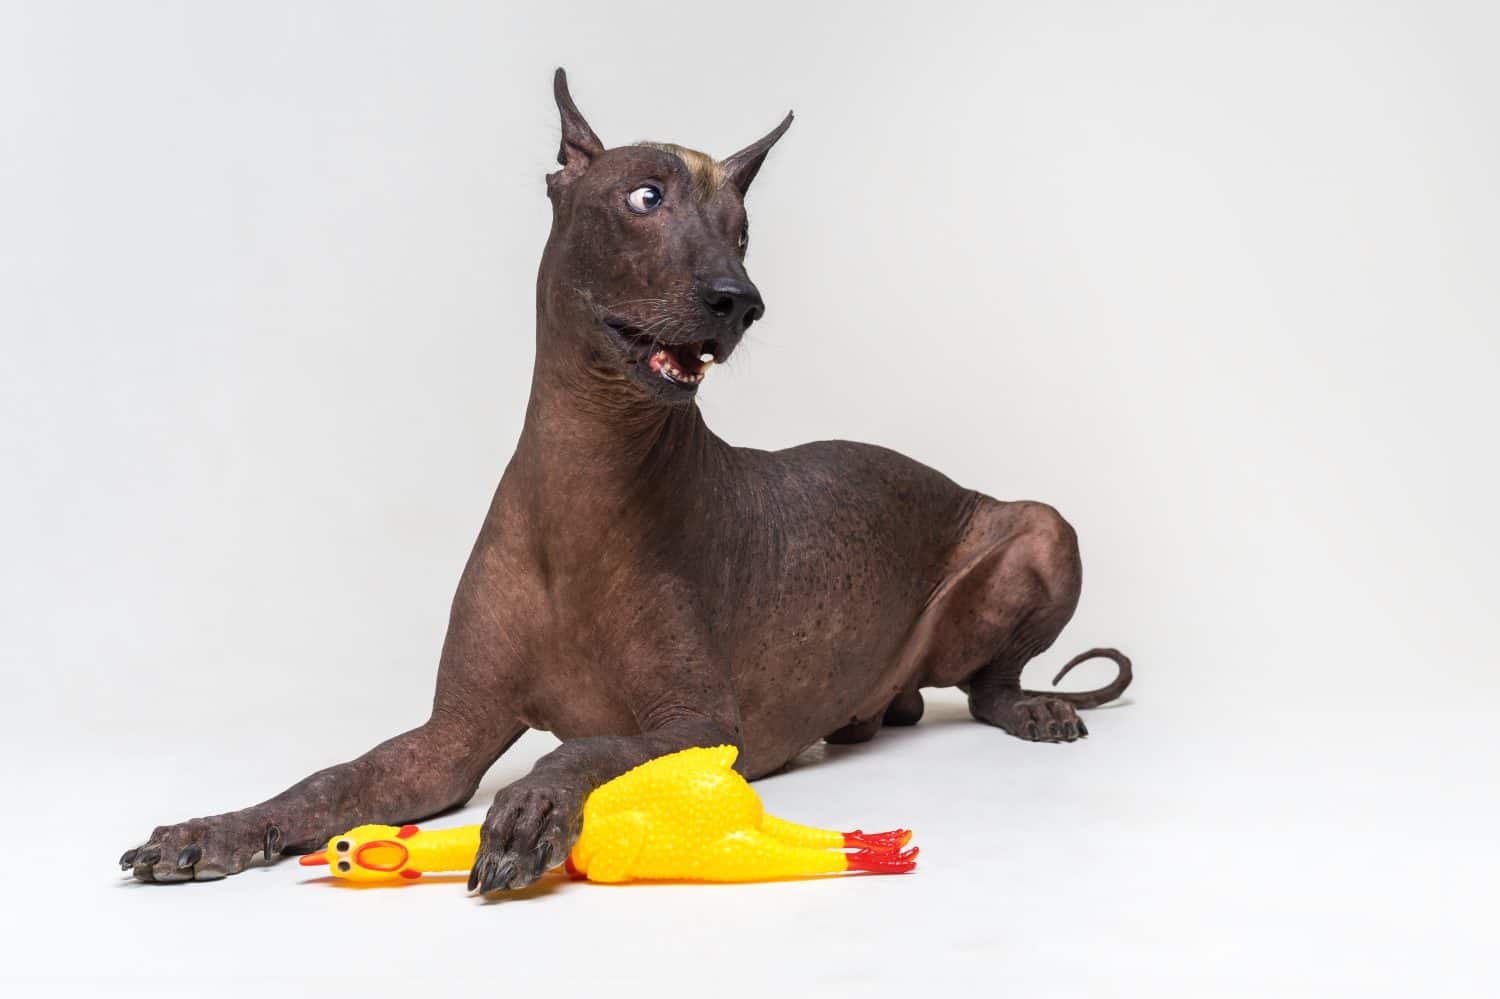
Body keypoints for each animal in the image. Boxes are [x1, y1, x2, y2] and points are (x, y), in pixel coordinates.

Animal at [120, 72, 1128, 888]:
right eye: (644, 197)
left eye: (743, 232)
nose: (740, 300)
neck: (586, 472)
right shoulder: (448, 739)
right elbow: (334, 776)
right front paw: (218, 827)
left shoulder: (702, 723)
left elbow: (587, 748)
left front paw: (529, 809)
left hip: (1043, 526)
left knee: (991, 683)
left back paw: (1029, 705)